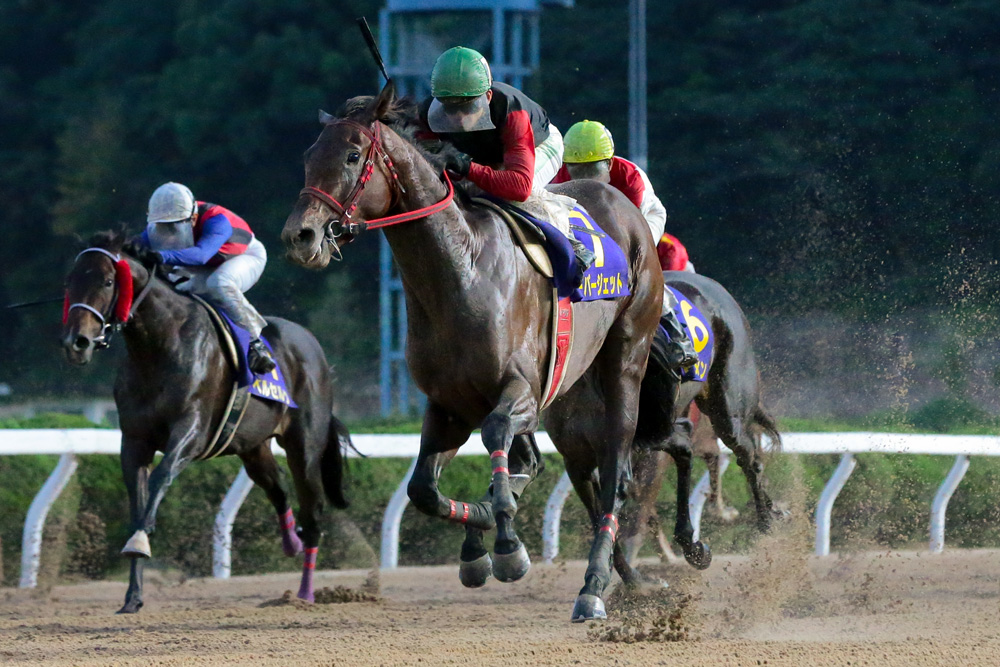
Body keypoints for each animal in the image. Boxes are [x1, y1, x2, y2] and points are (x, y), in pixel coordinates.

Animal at [61, 231, 352, 616]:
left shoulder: (192, 430)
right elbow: (137, 500)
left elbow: (162, 476)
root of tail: (312, 346)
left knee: (313, 514)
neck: (158, 346)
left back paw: (304, 594)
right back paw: (290, 542)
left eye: (108, 281)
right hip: (253, 447)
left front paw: (140, 539)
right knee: (277, 490)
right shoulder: (134, 440)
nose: (76, 343)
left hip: (304, 446)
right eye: (70, 281)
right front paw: (132, 595)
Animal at [280, 82, 664, 620]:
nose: (301, 236)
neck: (461, 270)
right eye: (309, 156)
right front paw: (481, 543)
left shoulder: (521, 390)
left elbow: (498, 435)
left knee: (612, 472)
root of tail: (622, 205)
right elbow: (423, 490)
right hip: (571, 389)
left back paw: (593, 585)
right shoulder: (449, 403)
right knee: (554, 466)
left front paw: (505, 546)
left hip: (625, 357)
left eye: (353, 156)